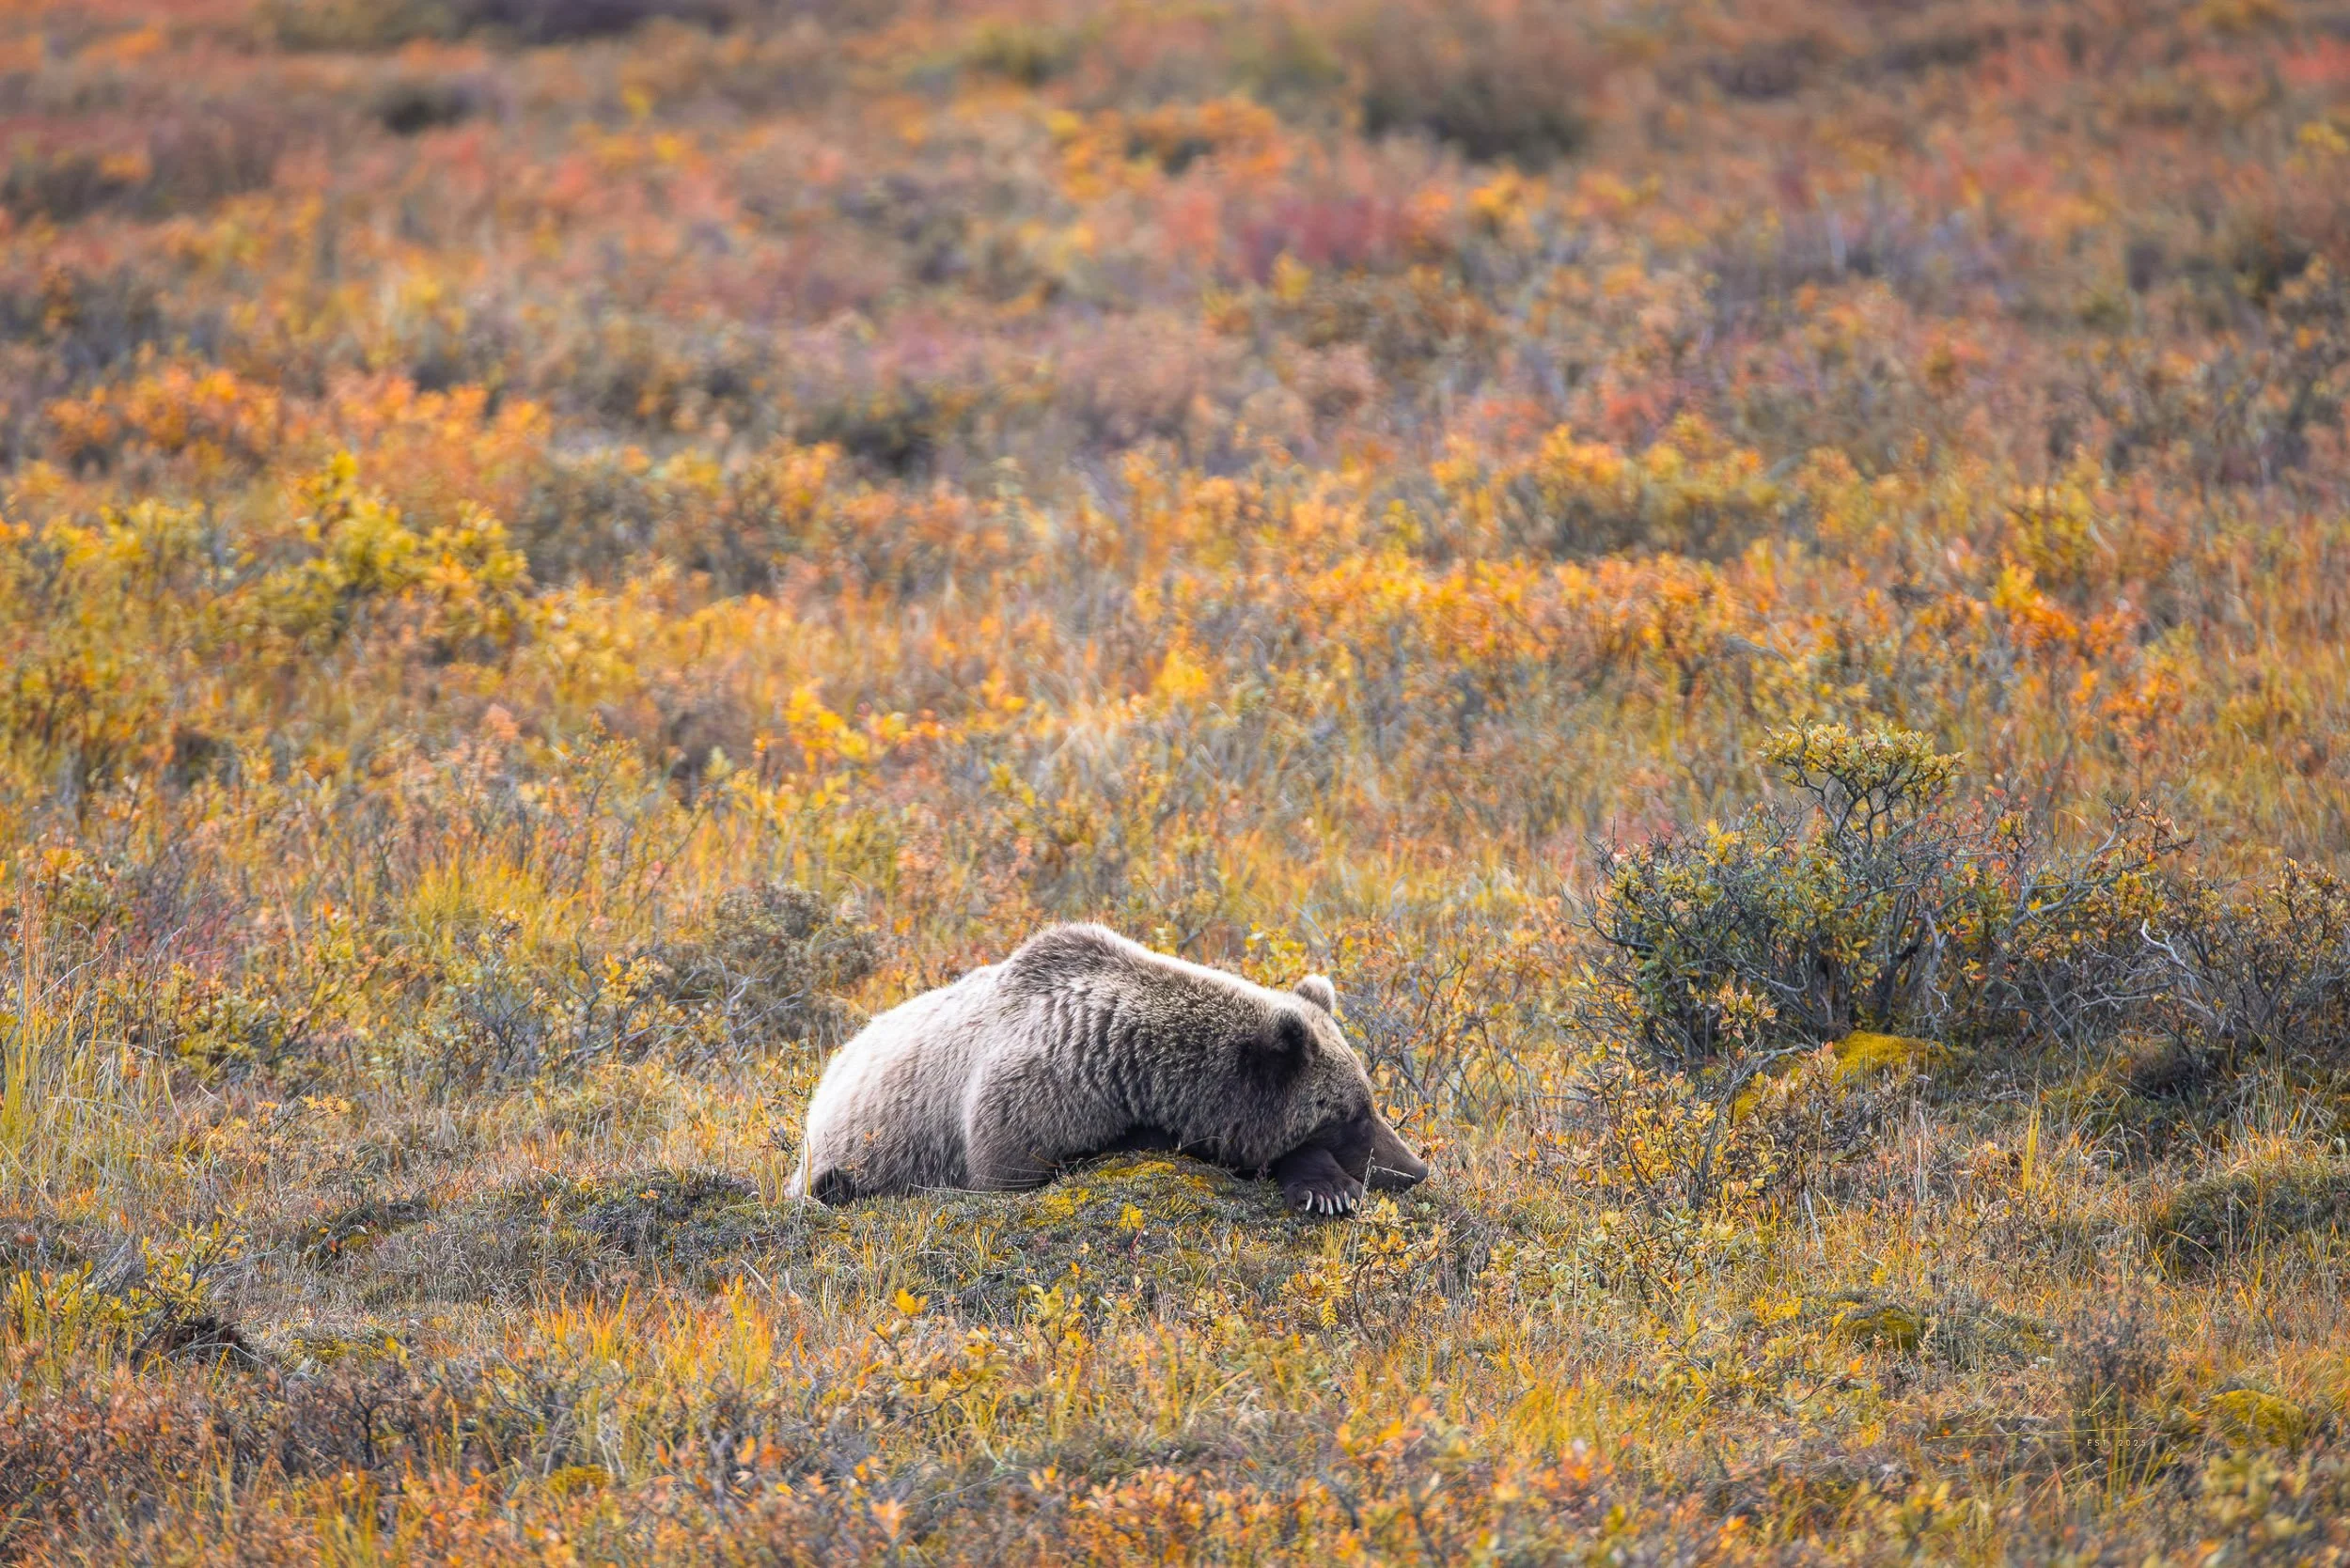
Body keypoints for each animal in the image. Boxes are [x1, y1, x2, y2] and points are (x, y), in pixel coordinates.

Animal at [785, 923, 1428, 1216]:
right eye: (1351, 1114)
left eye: (1369, 1101)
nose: (1415, 1169)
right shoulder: (1025, 1105)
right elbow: (1017, 1171)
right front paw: (1330, 1188)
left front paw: (1324, 1185)